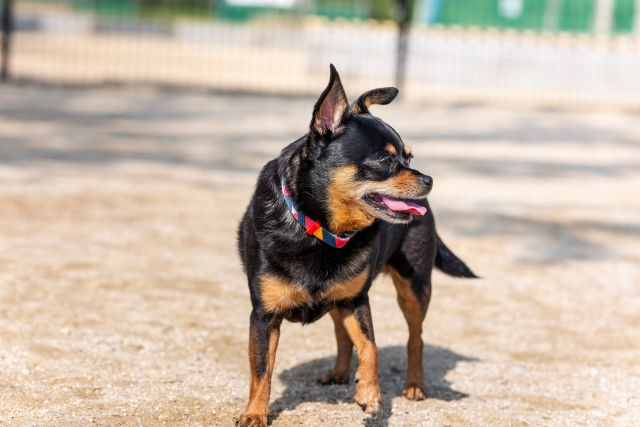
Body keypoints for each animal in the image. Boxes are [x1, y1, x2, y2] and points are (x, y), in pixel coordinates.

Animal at [236, 65, 476, 426]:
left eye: (409, 157)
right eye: (385, 161)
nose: (429, 180)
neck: (320, 230)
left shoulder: (356, 301)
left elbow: (371, 347)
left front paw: (370, 393)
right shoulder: (265, 316)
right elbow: (261, 369)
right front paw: (254, 414)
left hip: (414, 289)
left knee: (415, 338)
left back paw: (415, 385)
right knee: (341, 333)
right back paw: (338, 373)